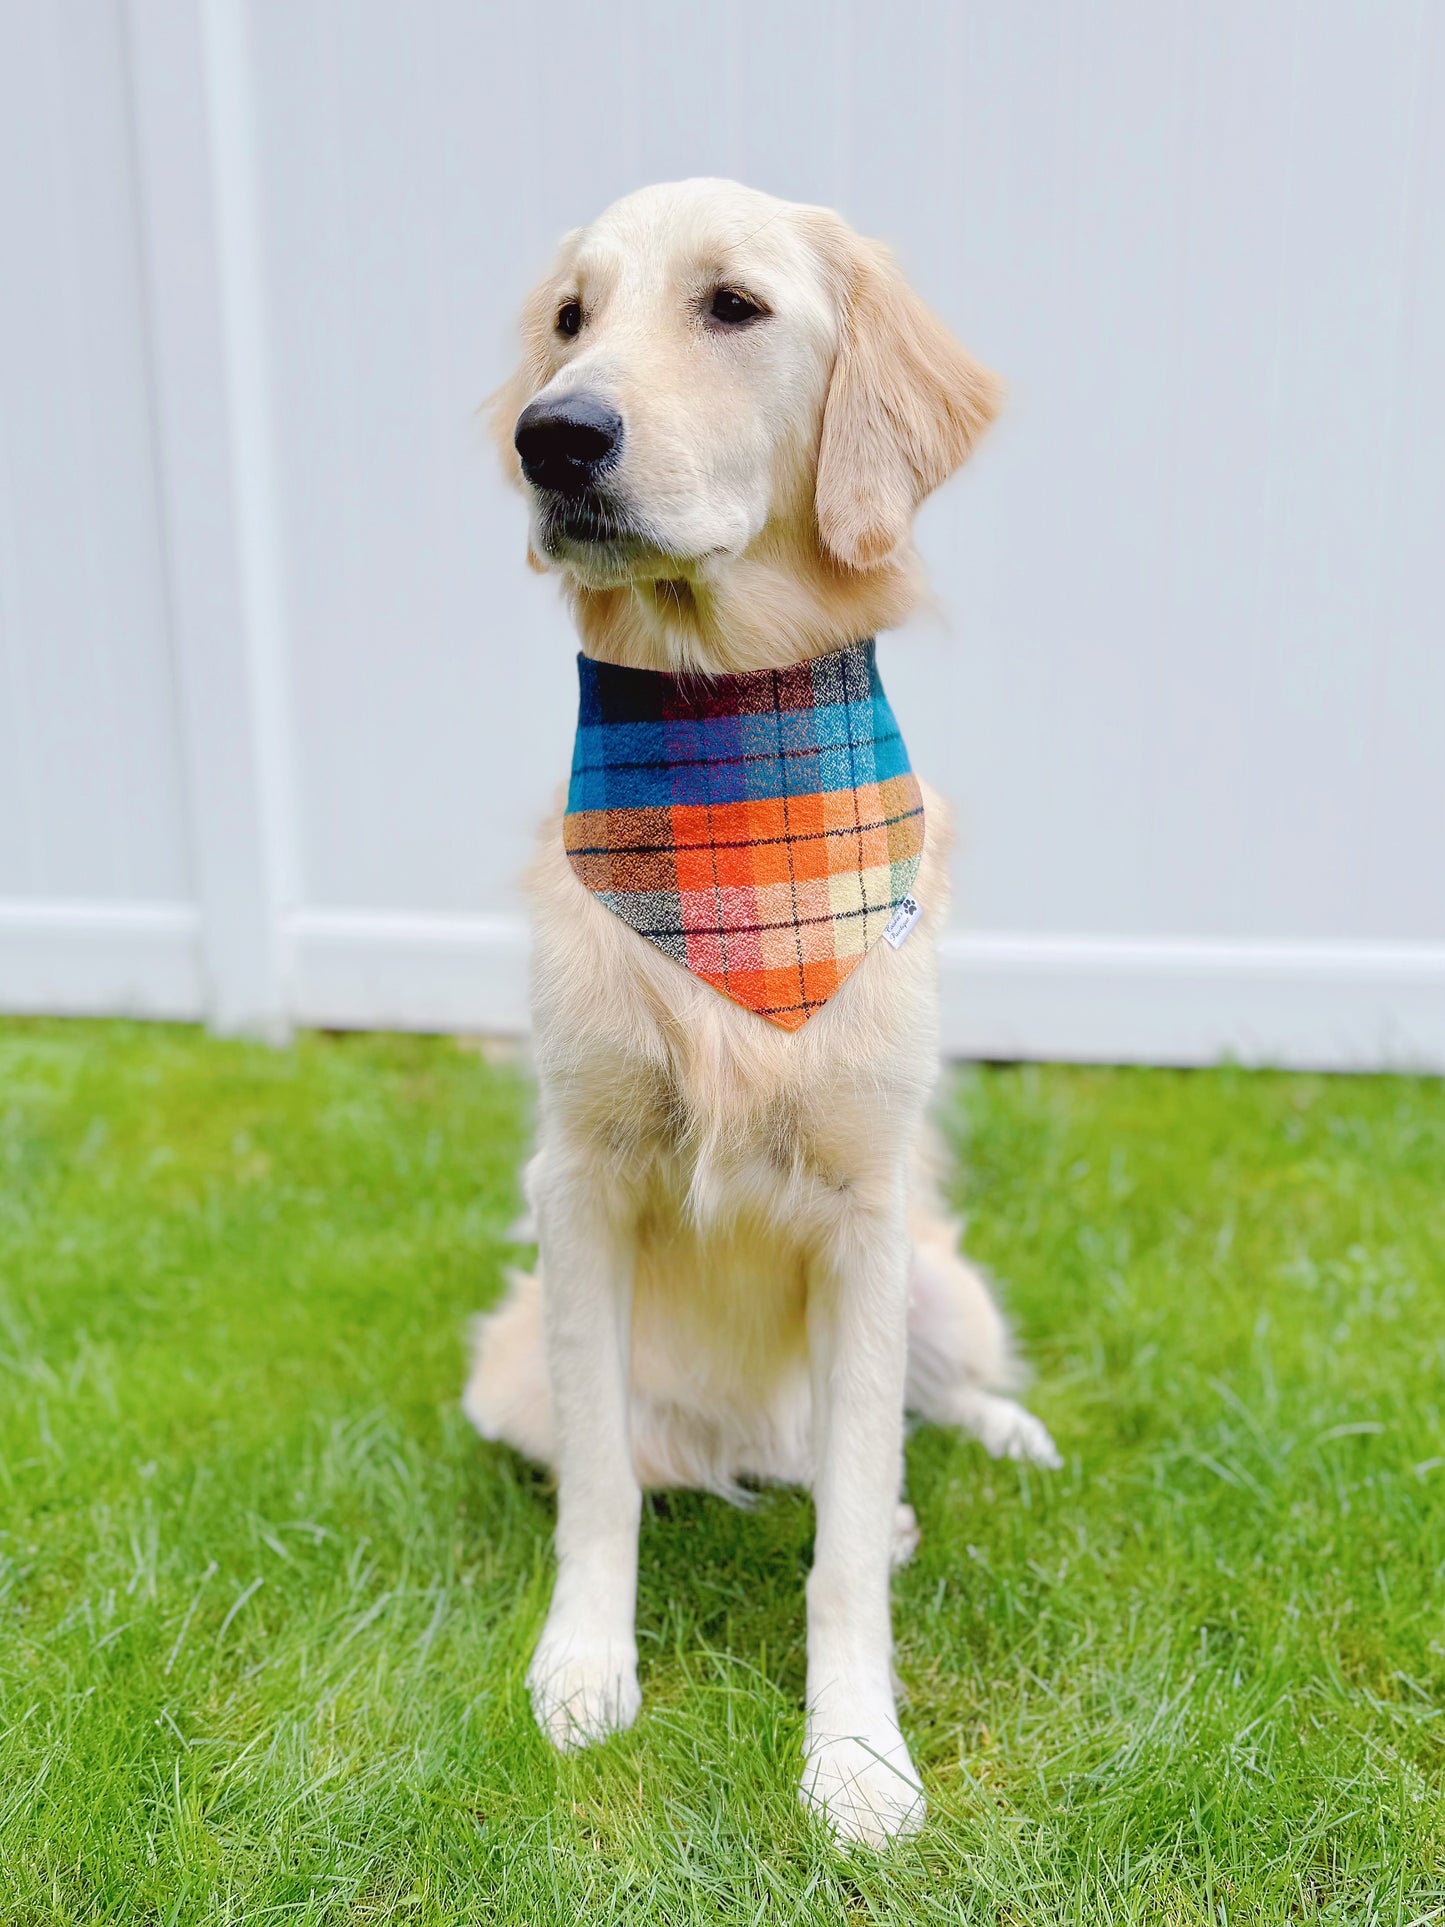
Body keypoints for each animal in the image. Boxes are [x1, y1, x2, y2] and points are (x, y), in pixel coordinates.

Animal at [470, 184, 1055, 1849]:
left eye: (731, 306)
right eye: (569, 319)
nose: (553, 435)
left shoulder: (865, 1214)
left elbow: (844, 1547)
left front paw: (857, 1754)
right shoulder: (581, 1185)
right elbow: (603, 1490)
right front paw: (582, 1670)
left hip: (938, 1276)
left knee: (922, 1406)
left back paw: (998, 1436)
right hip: (510, 1361)